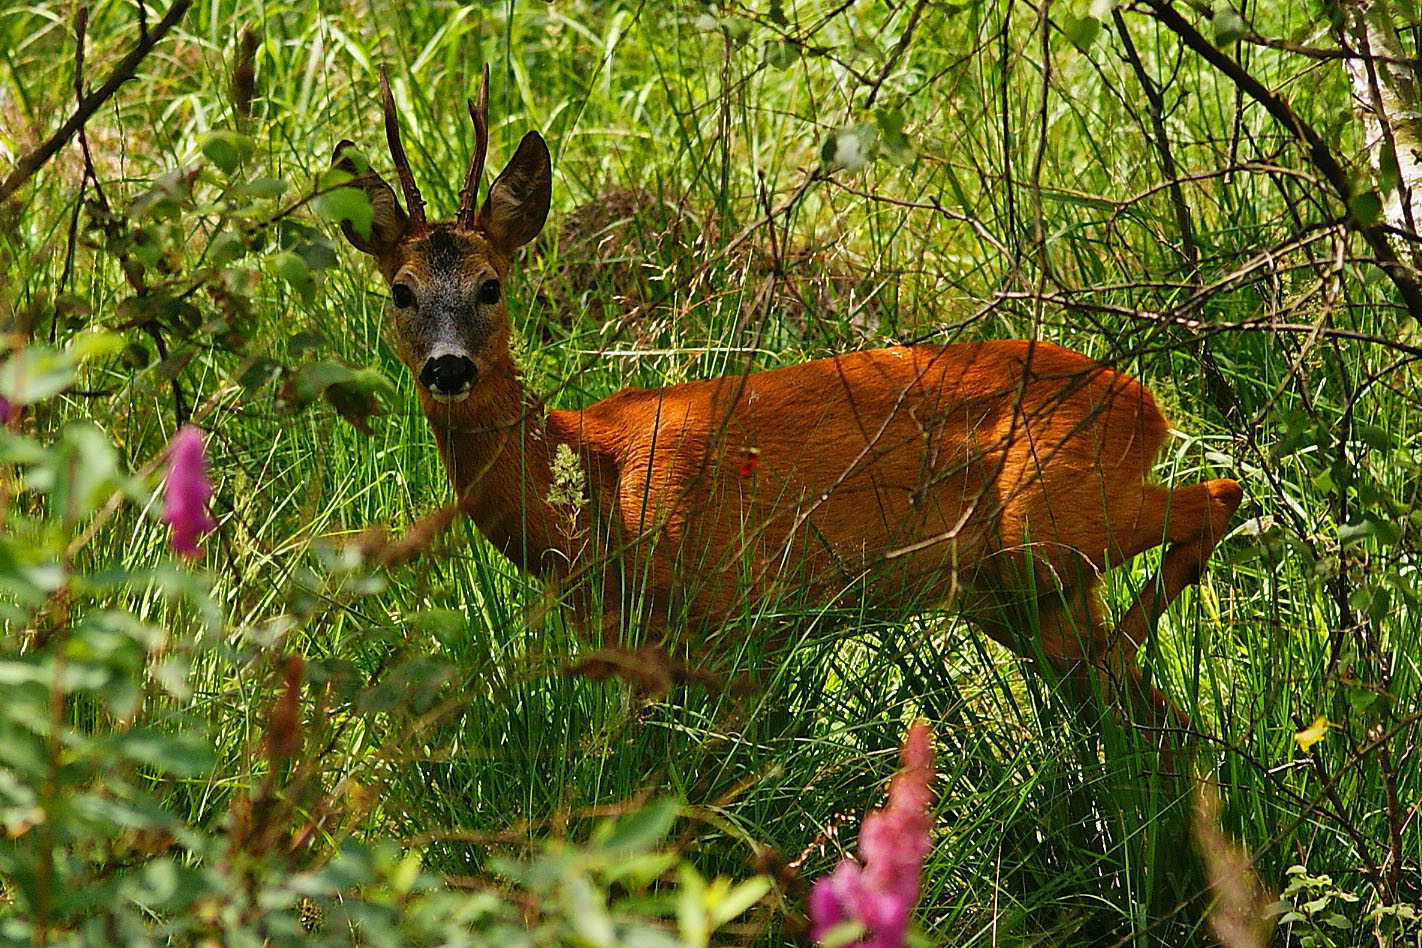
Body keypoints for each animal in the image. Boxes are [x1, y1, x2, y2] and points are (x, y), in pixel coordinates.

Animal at [327, 66, 1239, 733]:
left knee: (1218, 497)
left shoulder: (739, 616)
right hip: (1025, 593)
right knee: (1160, 725)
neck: (588, 496)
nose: (449, 369)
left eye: (492, 285)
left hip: (1044, 519)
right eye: (402, 292)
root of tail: (1147, 406)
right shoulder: (637, 654)